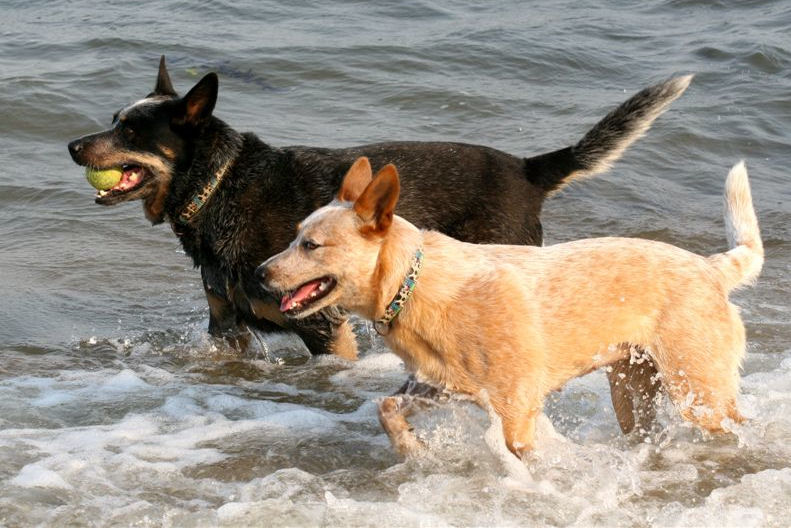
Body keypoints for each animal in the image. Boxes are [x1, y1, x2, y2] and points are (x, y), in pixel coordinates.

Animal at [66, 57, 688, 436]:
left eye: (130, 132)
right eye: (113, 119)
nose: (72, 144)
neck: (220, 186)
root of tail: (528, 171)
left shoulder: (324, 327)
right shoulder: (227, 330)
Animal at [256, 156, 764, 458]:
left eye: (310, 245)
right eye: (293, 235)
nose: (259, 273)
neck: (411, 287)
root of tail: (711, 266)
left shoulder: (516, 412)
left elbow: (521, 456)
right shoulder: (438, 385)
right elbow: (386, 407)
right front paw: (413, 451)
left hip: (699, 391)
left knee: (738, 421)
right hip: (631, 390)